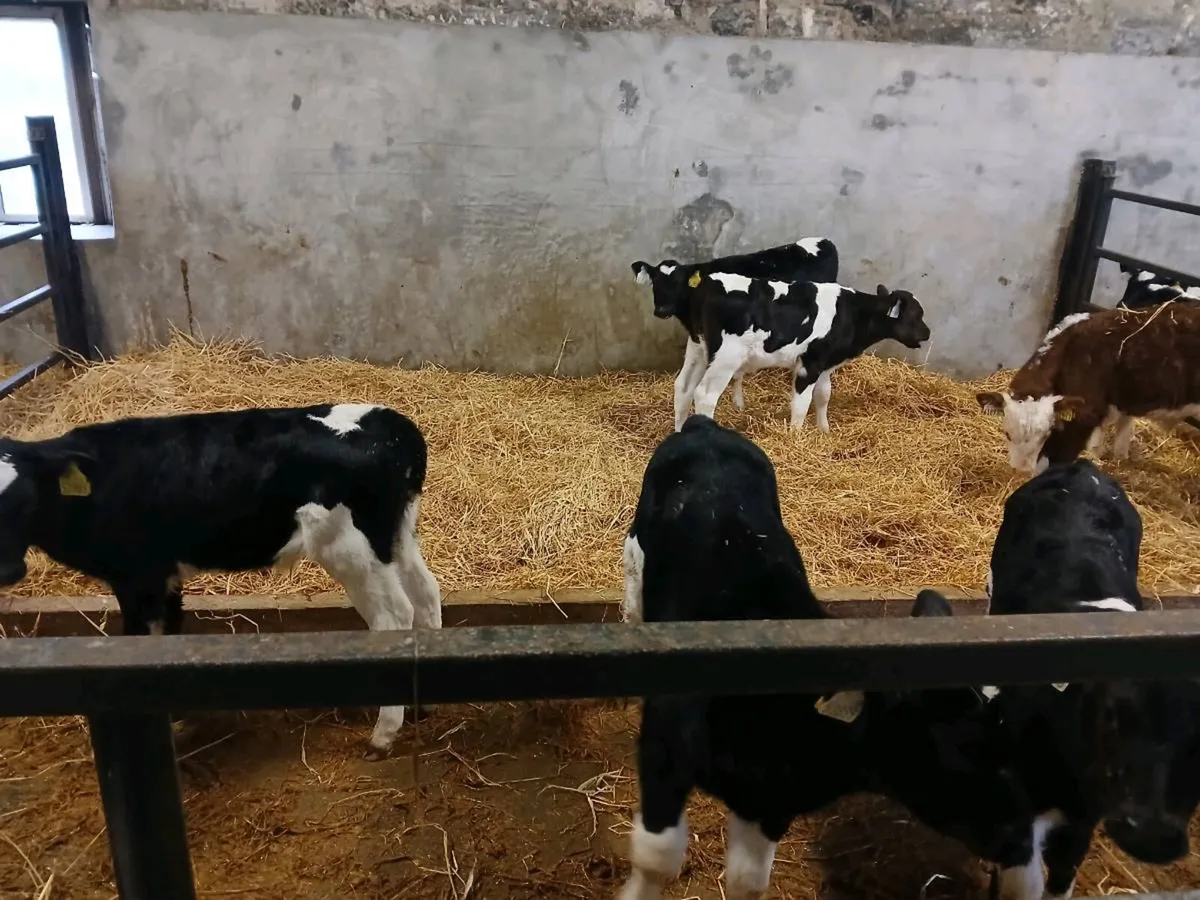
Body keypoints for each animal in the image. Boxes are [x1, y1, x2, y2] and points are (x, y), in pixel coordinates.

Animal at [0, 403, 442, 759]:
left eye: (25, 498)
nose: (8, 570)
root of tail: (392, 425)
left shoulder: (138, 578)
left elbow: (142, 642)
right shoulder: (164, 577)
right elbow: (167, 637)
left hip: (352, 549)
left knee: (393, 617)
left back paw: (383, 735)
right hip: (398, 535)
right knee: (425, 593)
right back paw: (420, 708)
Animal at [619, 415, 1038, 900]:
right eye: (963, 752)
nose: (1021, 844)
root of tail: (704, 427)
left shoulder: (770, 799)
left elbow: (748, 882)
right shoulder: (666, 740)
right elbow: (659, 858)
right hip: (636, 549)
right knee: (632, 598)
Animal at [668, 275, 929, 433]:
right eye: (916, 315)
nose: (927, 333)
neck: (852, 314)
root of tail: (708, 284)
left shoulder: (824, 363)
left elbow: (823, 396)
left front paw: (824, 430)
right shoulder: (809, 364)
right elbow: (801, 403)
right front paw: (796, 436)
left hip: (698, 348)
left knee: (683, 387)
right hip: (725, 359)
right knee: (704, 395)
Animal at [954, 458, 1200, 898]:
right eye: (1111, 714)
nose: (1152, 837)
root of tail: (1083, 468)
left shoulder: (1087, 814)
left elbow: (1063, 873)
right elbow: (1022, 881)